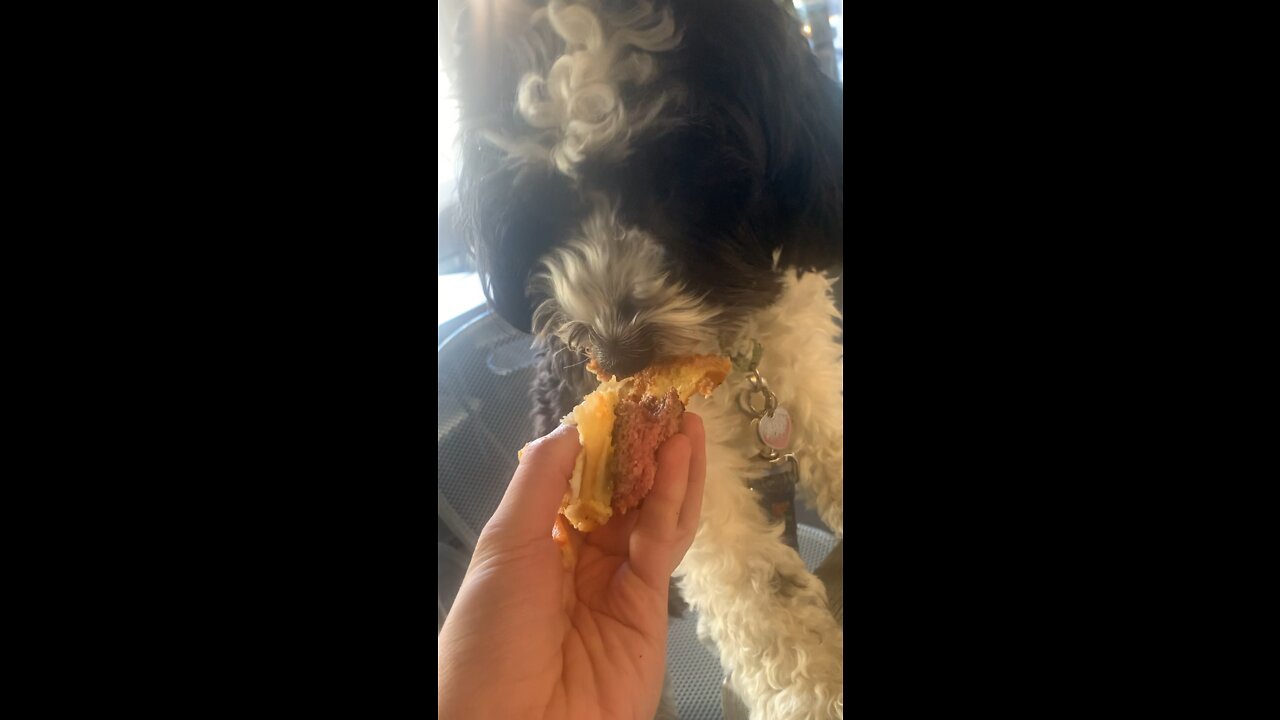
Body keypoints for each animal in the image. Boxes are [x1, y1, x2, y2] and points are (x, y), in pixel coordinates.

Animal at [450, 1, 839, 712]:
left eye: (680, 175)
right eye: (543, 203)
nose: (616, 350)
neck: (733, 347)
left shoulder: (805, 369)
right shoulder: (700, 477)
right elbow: (760, 595)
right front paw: (820, 692)